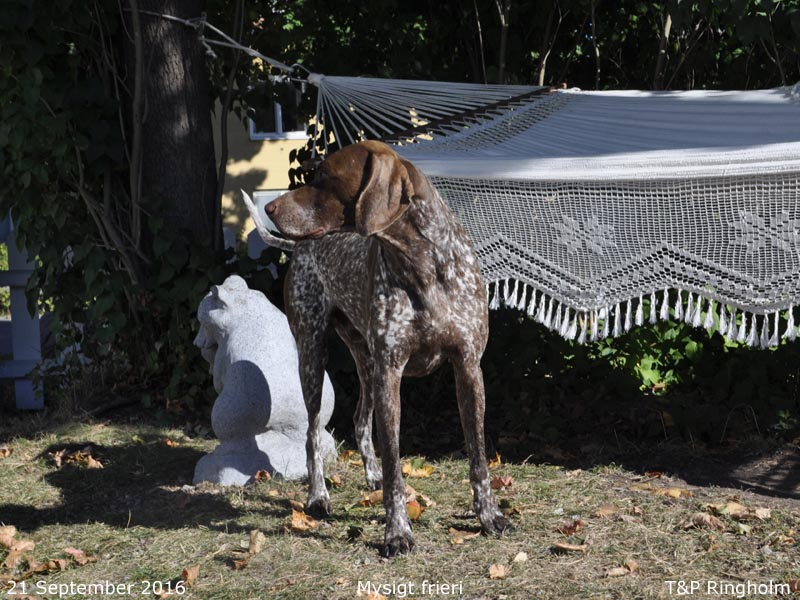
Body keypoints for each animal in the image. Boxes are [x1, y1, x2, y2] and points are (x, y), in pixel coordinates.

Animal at [246, 140, 510, 557]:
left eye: (325, 176)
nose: (270, 208)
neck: (423, 266)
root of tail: (298, 248)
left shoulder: (468, 368)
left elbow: (479, 459)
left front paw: (489, 516)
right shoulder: (391, 375)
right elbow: (395, 470)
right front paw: (397, 532)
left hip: (366, 365)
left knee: (358, 419)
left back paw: (369, 475)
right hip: (314, 357)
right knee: (312, 435)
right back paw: (318, 497)